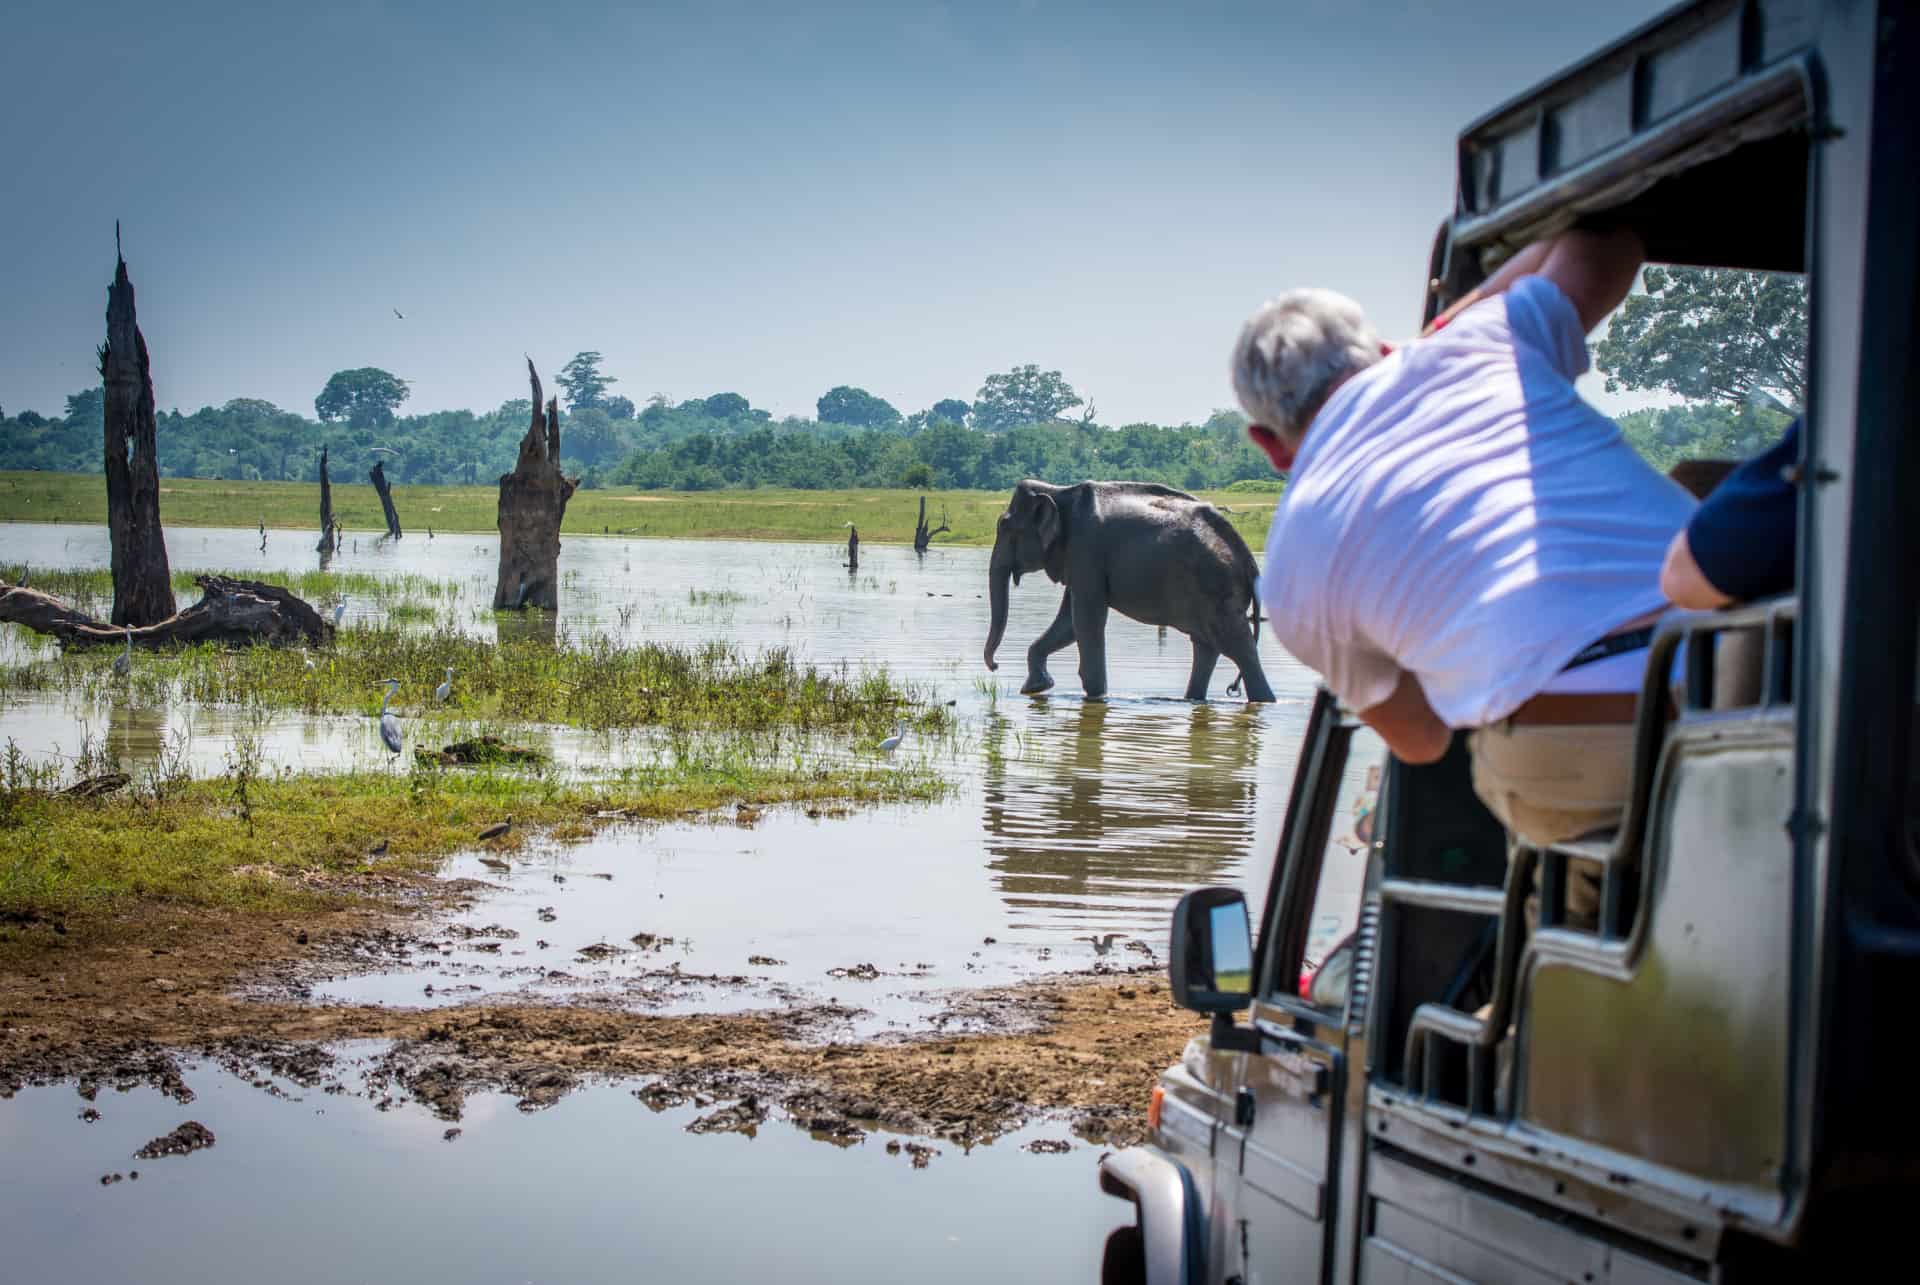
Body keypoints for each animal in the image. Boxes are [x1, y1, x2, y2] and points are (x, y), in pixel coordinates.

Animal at [990, 478, 1274, 703]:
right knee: (1207, 646)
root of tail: (1248, 559)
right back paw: (1195, 699)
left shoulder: (1086, 550)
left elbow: (1086, 620)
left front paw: (1096, 696)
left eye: (1004, 527)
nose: (994, 666)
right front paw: (1035, 688)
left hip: (1218, 588)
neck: (1059, 492)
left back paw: (1264, 701)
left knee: (1239, 647)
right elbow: (1068, 623)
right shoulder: (1078, 559)